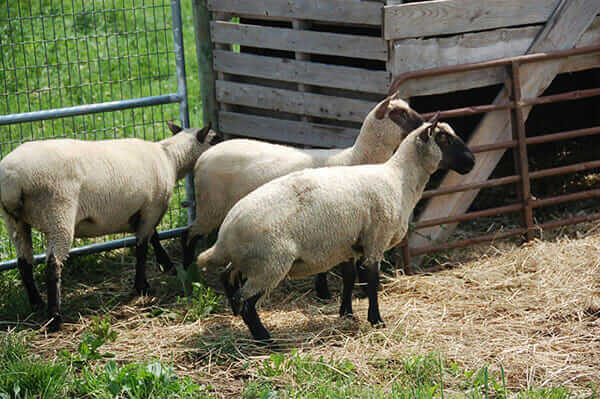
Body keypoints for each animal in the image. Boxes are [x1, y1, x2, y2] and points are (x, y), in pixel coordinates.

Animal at [0, 123, 220, 332]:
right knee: (53, 265)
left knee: (24, 263)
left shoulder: (143, 212)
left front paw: (167, 266)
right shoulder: (152, 207)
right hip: (58, 211)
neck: (170, 158)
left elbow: (154, 237)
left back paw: (37, 304)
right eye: (216, 138)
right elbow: (142, 247)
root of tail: (12, 182)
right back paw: (55, 319)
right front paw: (142, 286)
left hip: (15, 220)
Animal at [180, 96, 424, 300]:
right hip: (211, 205)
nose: (425, 122)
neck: (354, 158)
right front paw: (325, 292)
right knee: (189, 234)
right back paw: (189, 277)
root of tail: (203, 157)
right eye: (399, 114)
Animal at [195, 115, 476, 344]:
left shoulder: (348, 246)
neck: (400, 179)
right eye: (444, 138)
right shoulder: (375, 240)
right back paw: (265, 340)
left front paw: (346, 314)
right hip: (270, 264)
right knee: (246, 301)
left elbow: (349, 279)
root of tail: (225, 236)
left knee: (228, 279)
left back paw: (239, 317)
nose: (472, 162)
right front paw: (376, 320)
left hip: (250, 261)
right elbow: (371, 281)